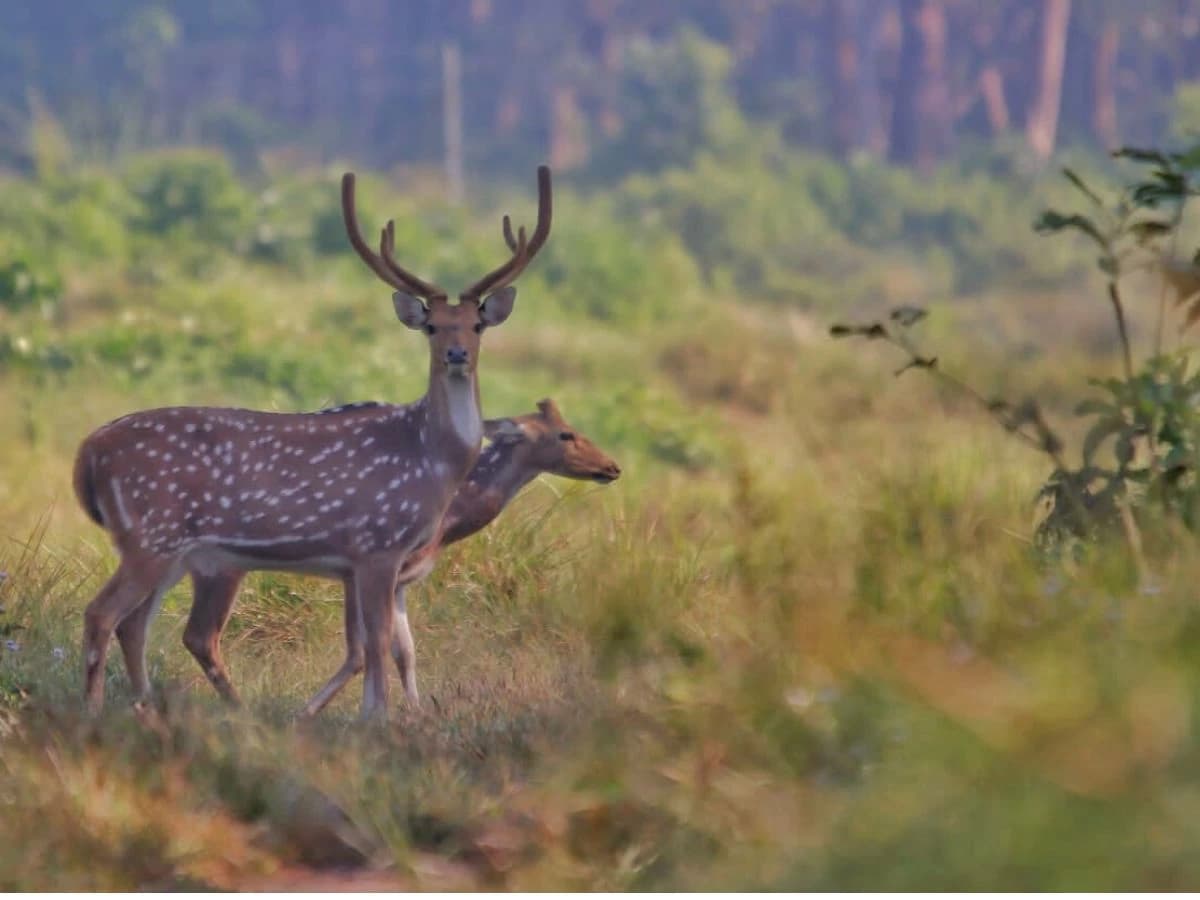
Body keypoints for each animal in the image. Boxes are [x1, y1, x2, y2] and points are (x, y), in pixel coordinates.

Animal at [77, 168, 554, 720]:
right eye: (432, 325)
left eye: (476, 324)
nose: (456, 354)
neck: (433, 461)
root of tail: (87, 452)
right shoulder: (376, 545)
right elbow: (379, 642)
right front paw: (378, 718)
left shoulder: (365, 559)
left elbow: (373, 645)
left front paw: (374, 714)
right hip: (151, 535)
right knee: (102, 613)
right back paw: (95, 710)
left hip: (172, 550)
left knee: (135, 623)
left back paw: (146, 708)